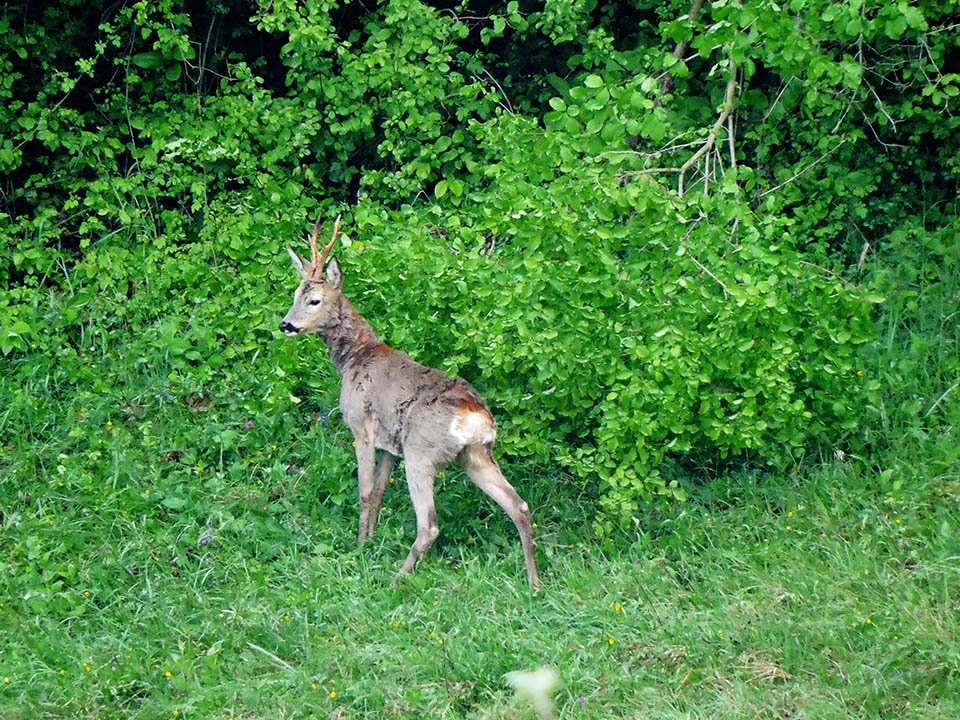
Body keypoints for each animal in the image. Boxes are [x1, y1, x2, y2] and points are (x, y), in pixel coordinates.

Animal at [282, 217, 544, 588]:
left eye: (315, 300)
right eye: (295, 295)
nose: (286, 324)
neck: (354, 357)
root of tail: (476, 416)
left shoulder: (361, 427)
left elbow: (364, 491)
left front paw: (359, 547)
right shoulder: (391, 446)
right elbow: (379, 491)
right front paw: (371, 540)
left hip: (422, 454)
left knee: (429, 525)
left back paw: (397, 580)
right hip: (475, 455)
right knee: (518, 506)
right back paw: (534, 582)